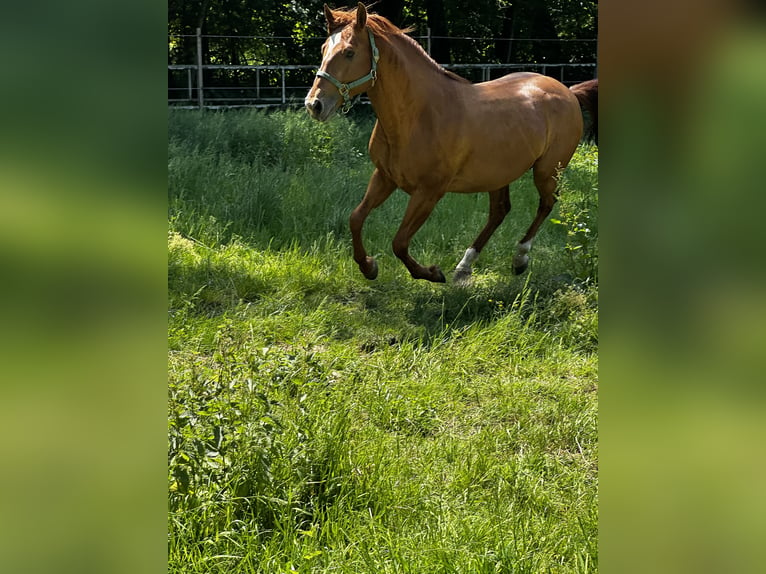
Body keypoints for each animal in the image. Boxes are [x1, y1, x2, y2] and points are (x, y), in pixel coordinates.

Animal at [306, 4, 584, 284]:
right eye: (323, 49)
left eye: (349, 52)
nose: (314, 105)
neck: (418, 115)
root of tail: (567, 91)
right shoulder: (384, 177)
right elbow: (356, 218)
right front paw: (369, 267)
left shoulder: (429, 192)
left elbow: (399, 242)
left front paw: (432, 273)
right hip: (498, 175)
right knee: (499, 211)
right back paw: (464, 267)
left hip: (547, 171)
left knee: (546, 204)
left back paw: (519, 259)